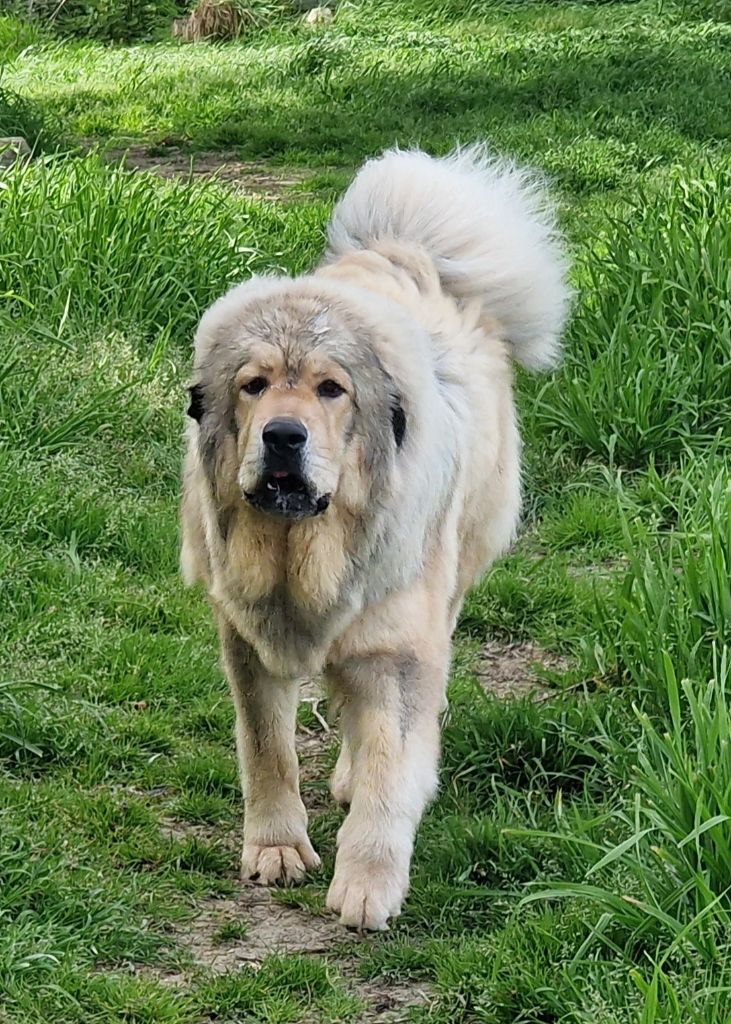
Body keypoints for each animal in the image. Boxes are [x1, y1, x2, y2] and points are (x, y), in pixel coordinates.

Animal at [181, 144, 569, 929]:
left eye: (332, 389)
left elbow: (392, 769)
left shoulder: (396, 652)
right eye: (253, 384)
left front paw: (368, 883)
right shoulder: (248, 643)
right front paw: (276, 848)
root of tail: (408, 252)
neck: (304, 554)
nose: (283, 435)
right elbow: (266, 749)